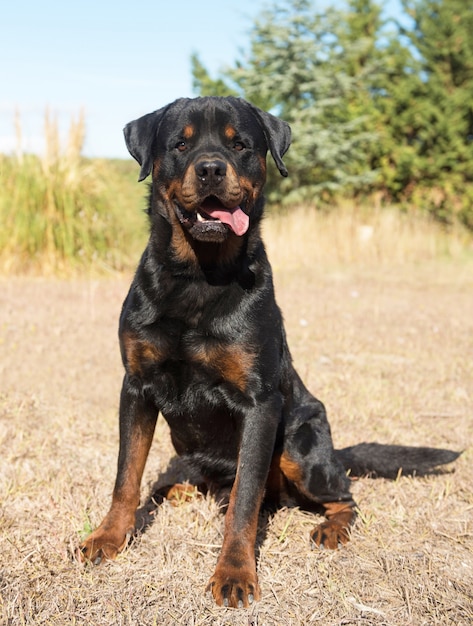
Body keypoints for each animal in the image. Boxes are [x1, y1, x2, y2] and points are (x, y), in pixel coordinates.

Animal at [79, 96, 460, 604]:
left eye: (239, 144)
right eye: (180, 144)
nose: (211, 169)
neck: (198, 277)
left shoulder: (259, 402)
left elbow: (245, 500)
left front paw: (235, 572)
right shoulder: (136, 386)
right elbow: (126, 475)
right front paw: (107, 537)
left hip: (301, 447)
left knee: (341, 496)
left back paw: (331, 528)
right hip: (187, 445)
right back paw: (182, 489)